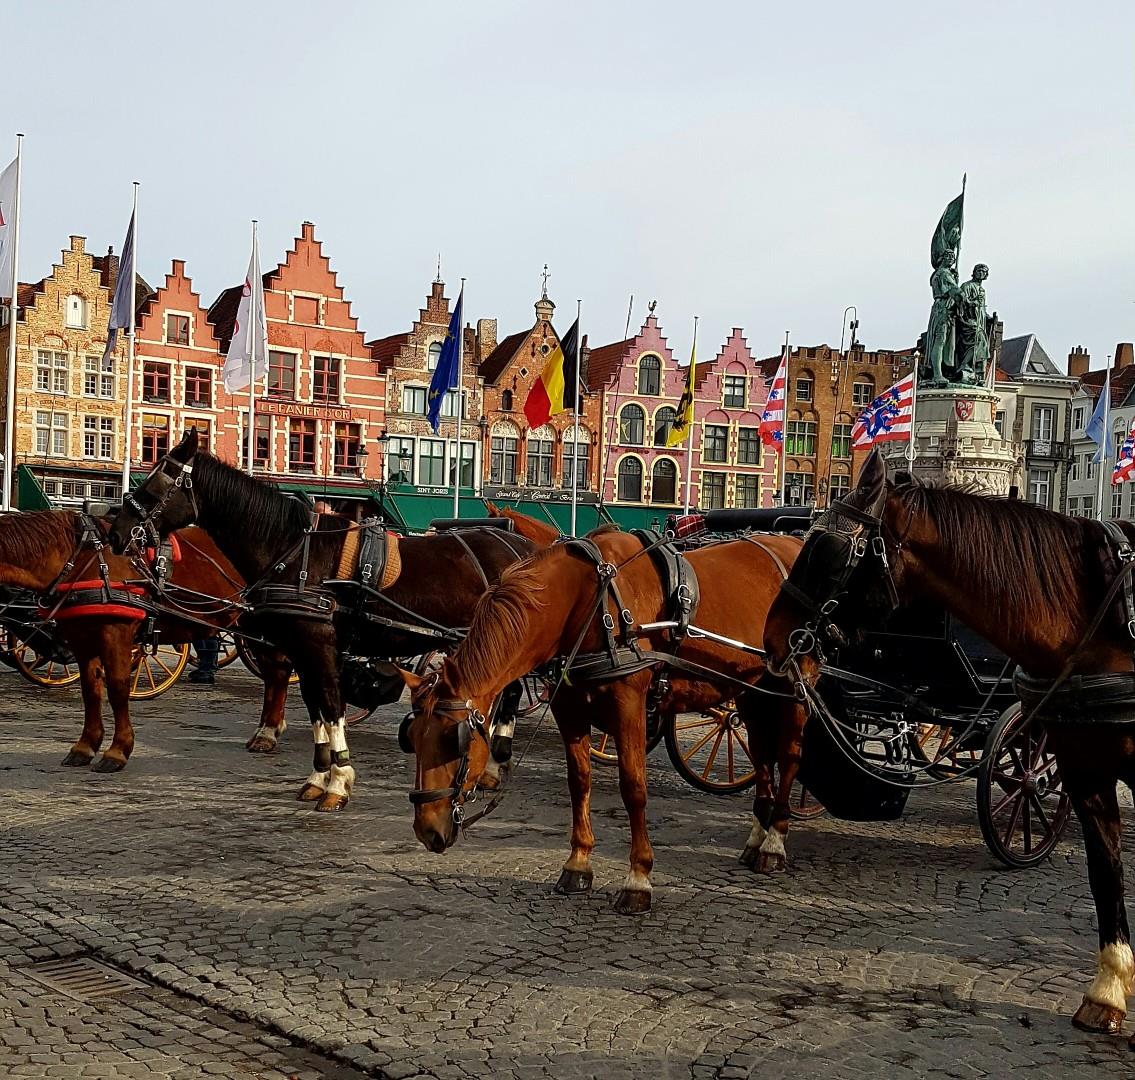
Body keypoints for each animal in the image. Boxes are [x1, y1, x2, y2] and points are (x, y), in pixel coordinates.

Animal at [0, 511, 251, 771]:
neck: (83, 558)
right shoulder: (82, 639)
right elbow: (91, 691)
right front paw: (85, 746)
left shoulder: (116, 634)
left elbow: (118, 689)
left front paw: (118, 750)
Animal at [106, 429, 538, 812]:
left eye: (157, 483)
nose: (117, 532)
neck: (294, 550)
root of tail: (526, 546)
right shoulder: (302, 649)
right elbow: (316, 708)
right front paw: (318, 777)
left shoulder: (319, 644)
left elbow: (331, 705)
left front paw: (339, 783)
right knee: (509, 693)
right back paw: (492, 766)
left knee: (511, 694)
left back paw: (494, 763)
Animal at [398, 526, 806, 914]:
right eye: (412, 738)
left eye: (454, 739)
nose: (426, 829)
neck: (586, 604)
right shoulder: (569, 709)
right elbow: (579, 782)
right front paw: (578, 864)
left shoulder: (629, 706)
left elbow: (633, 788)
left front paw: (638, 879)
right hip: (753, 689)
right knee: (762, 754)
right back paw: (756, 836)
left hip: (794, 688)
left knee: (788, 756)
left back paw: (774, 842)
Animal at [761, 449, 1135, 1046]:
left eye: (830, 551)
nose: (774, 637)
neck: (1097, 616)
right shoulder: (1086, 769)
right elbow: (1107, 874)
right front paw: (1106, 993)